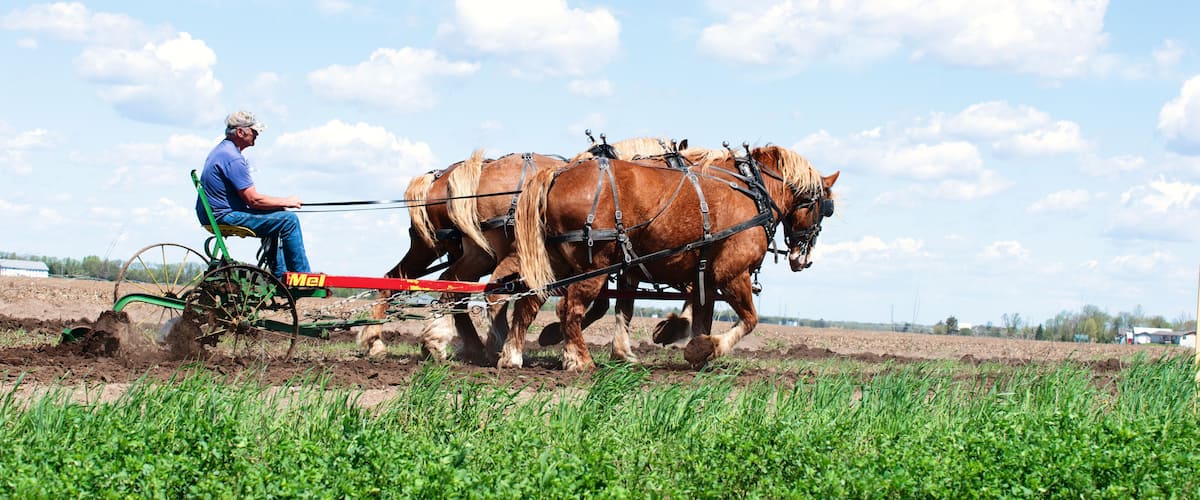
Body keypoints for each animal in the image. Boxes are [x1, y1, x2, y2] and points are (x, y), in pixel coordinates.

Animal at [508, 144, 839, 370]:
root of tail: (556, 174)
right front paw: (704, 349)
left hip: (553, 262)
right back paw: (580, 360)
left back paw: (512, 356)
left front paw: (690, 350)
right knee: (570, 308)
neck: (752, 190)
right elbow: (749, 320)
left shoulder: (701, 278)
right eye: (825, 207)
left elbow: (691, 316)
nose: (802, 259)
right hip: (595, 264)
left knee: (530, 302)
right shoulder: (732, 273)